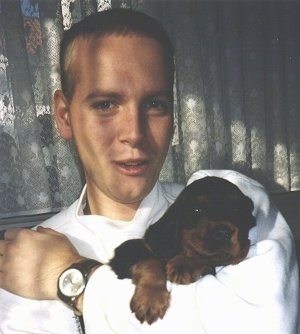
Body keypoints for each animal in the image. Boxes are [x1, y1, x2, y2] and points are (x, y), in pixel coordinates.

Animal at [109, 176, 255, 324]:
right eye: (196, 210)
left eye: (236, 209)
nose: (223, 233)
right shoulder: (127, 252)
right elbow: (150, 261)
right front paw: (150, 299)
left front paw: (184, 265)